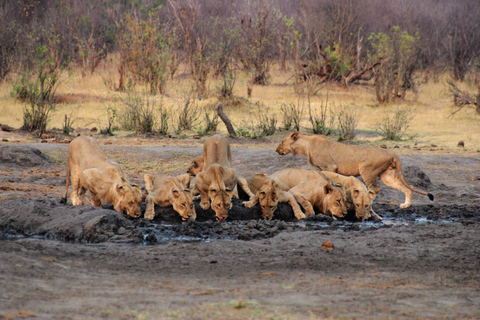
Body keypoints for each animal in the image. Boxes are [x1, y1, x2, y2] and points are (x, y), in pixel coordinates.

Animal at [276, 131, 434, 209]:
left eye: (282, 141)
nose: (277, 150)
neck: (305, 146)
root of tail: (392, 152)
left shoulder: (330, 167)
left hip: (366, 170)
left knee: (374, 189)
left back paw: (370, 202)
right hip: (387, 176)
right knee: (408, 188)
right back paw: (405, 205)